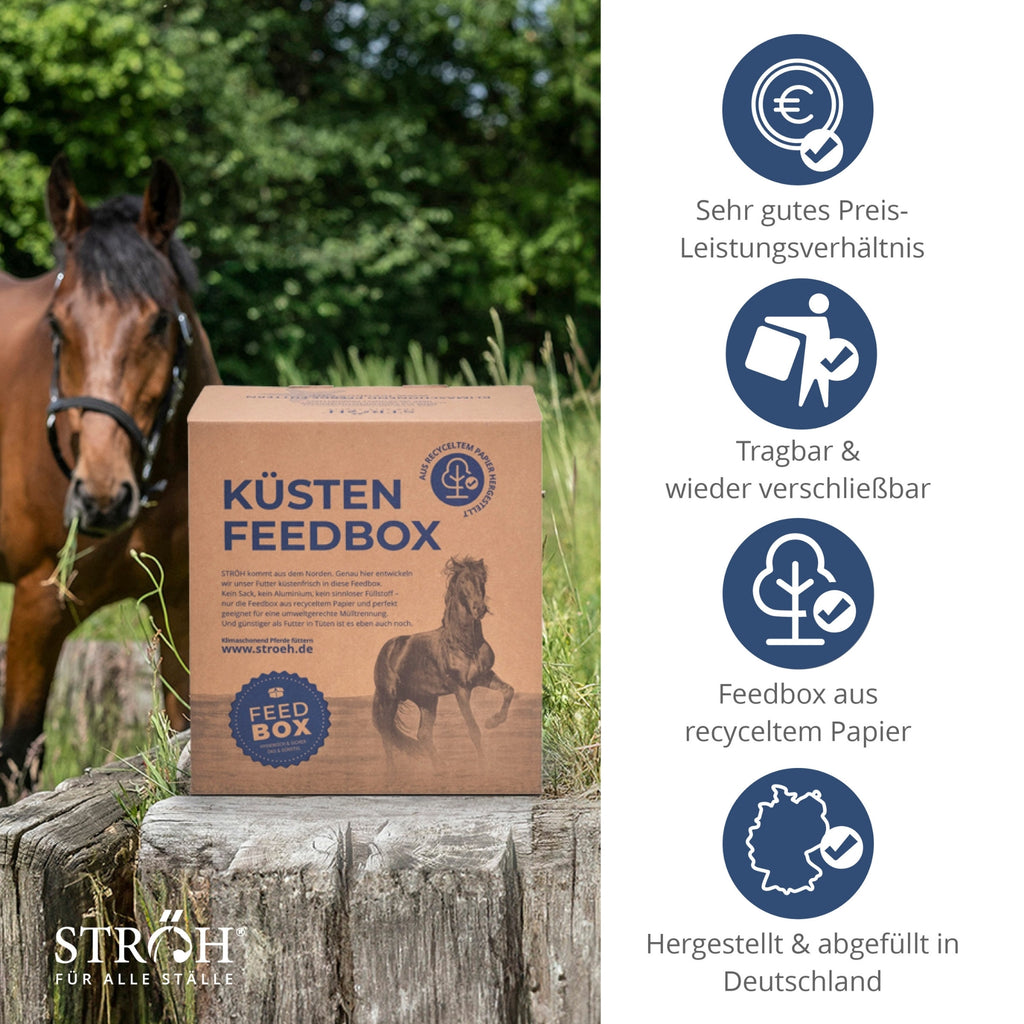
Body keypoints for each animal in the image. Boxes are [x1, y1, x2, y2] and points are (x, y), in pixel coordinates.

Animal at [0, 155, 219, 802]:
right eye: (56, 325)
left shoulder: (178, 604)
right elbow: (18, 755)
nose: (100, 498)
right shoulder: (39, 605)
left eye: (158, 323)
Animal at [372, 556, 515, 771]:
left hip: (427, 700)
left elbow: (508, 691)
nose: (479, 608)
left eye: (482, 579)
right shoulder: (461, 689)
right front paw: (483, 767)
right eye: (463, 581)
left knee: (423, 734)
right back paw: (393, 772)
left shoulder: (484, 677)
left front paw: (493, 721)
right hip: (390, 698)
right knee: (387, 733)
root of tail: (386, 650)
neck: (464, 644)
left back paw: (441, 768)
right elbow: (473, 730)